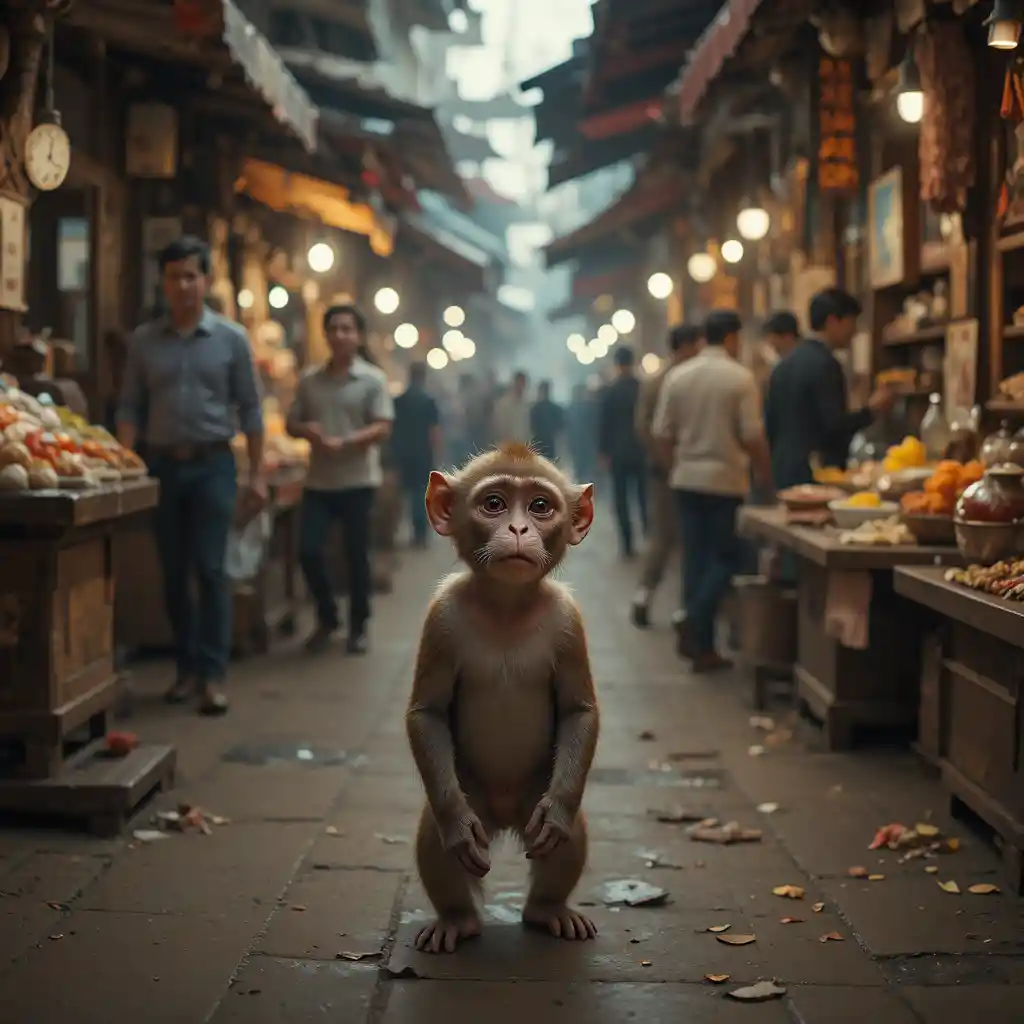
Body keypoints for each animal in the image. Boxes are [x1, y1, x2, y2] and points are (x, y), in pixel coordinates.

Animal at [405, 442, 599, 954]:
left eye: (540, 506)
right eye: (494, 504)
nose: (517, 529)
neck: (507, 606)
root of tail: (506, 816)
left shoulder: (569, 620)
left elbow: (578, 711)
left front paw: (557, 816)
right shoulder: (441, 617)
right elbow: (427, 713)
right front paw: (456, 828)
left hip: (536, 791)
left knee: (569, 835)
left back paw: (547, 909)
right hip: (470, 789)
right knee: (435, 837)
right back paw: (457, 919)